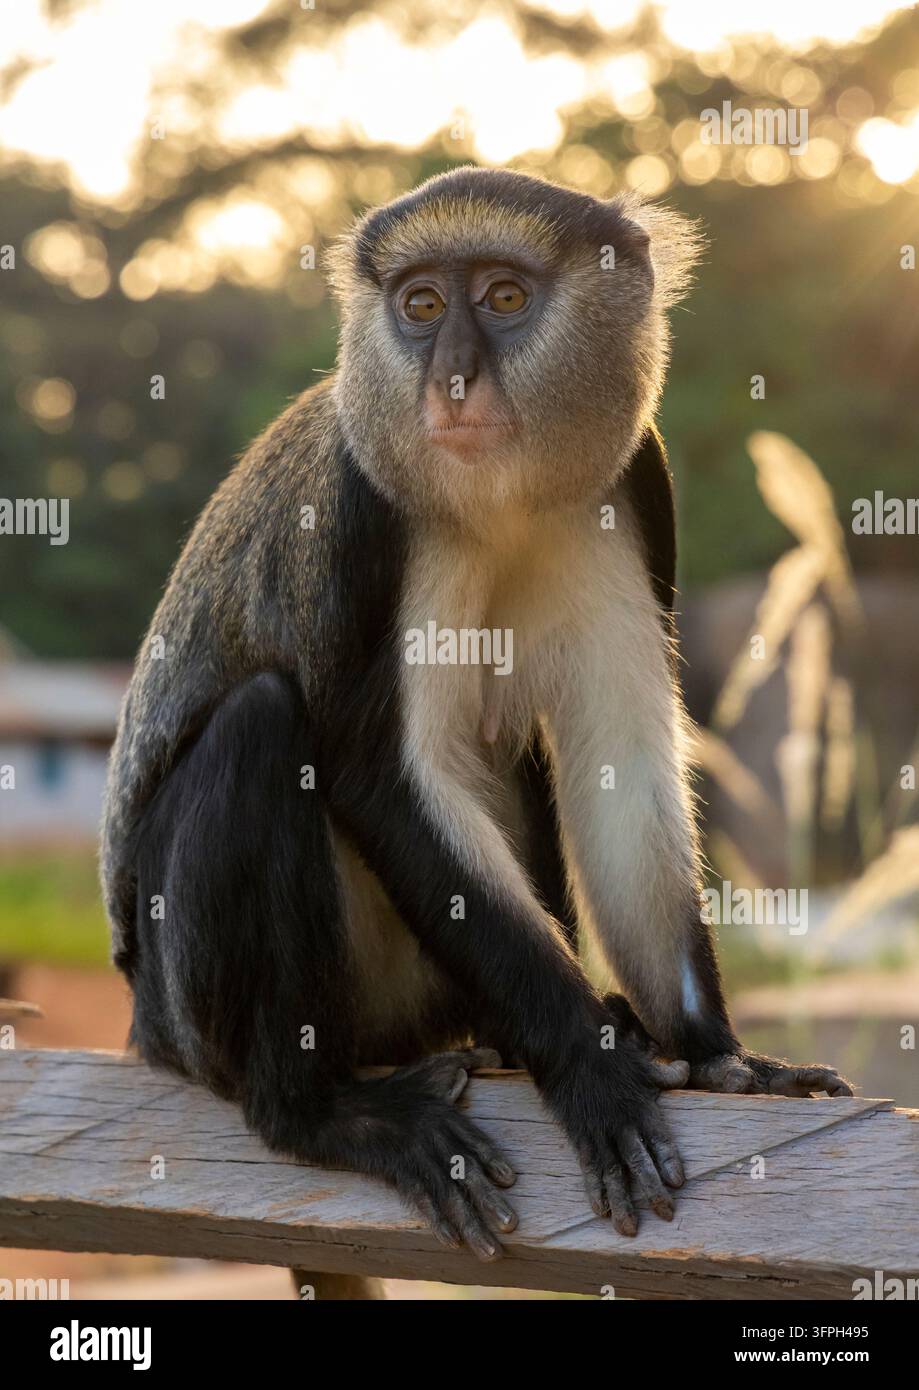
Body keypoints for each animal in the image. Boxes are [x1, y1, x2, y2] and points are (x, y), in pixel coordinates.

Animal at [101, 167, 852, 1265]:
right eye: (420, 306)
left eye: (502, 297)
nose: (452, 381)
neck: (498, 499)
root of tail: (145, 1030)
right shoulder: (361, 514)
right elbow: (384, 774)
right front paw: (590, 1068)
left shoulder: (633, 477)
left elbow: (619, 759)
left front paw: (714, 1055)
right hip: (193, 1005)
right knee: (261, 727)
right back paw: (323, 1112)